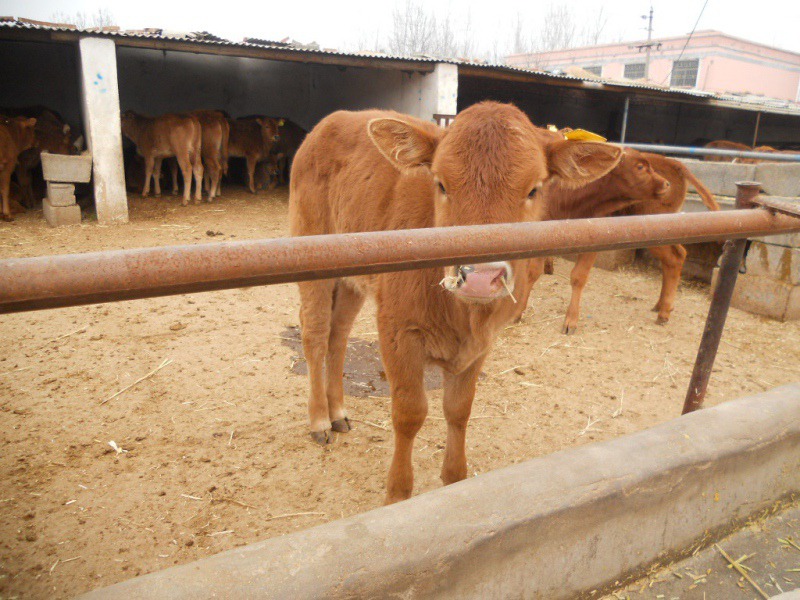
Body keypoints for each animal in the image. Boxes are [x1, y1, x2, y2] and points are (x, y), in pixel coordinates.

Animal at [290, 102, 620, 502]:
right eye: (441, 183)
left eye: (534, 189)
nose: (479, 277)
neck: (463, 317)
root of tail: (333, 119)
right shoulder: (397, 330)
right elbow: (409, 412)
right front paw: (398, 493)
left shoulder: (480, 345)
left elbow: (459, 410)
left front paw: (454, 479)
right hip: (311, 256)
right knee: (315, 333)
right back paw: (320, 418)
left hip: (352, 278)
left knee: (338, 335)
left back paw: (338, 411)